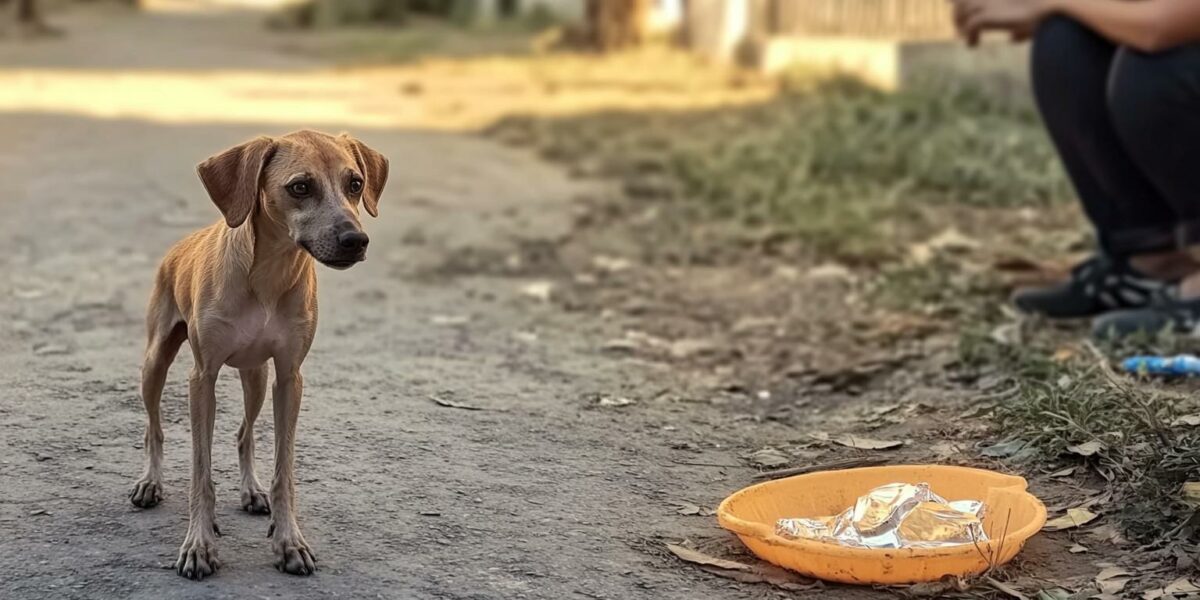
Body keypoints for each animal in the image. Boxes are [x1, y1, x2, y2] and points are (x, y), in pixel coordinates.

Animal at [129, 129, 388, 578]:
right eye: (300, 187)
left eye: (355, 183)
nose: (355, 240)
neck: (267, 274)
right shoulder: (202, 378)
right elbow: (201, 472)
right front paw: (199, 544)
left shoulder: (288, 377)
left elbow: (284, 471)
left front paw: (289, 541)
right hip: (155, 363)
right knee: (154, 428)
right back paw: (150, 481)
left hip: (256, 377)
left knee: (244, 433)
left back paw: (250, 489)